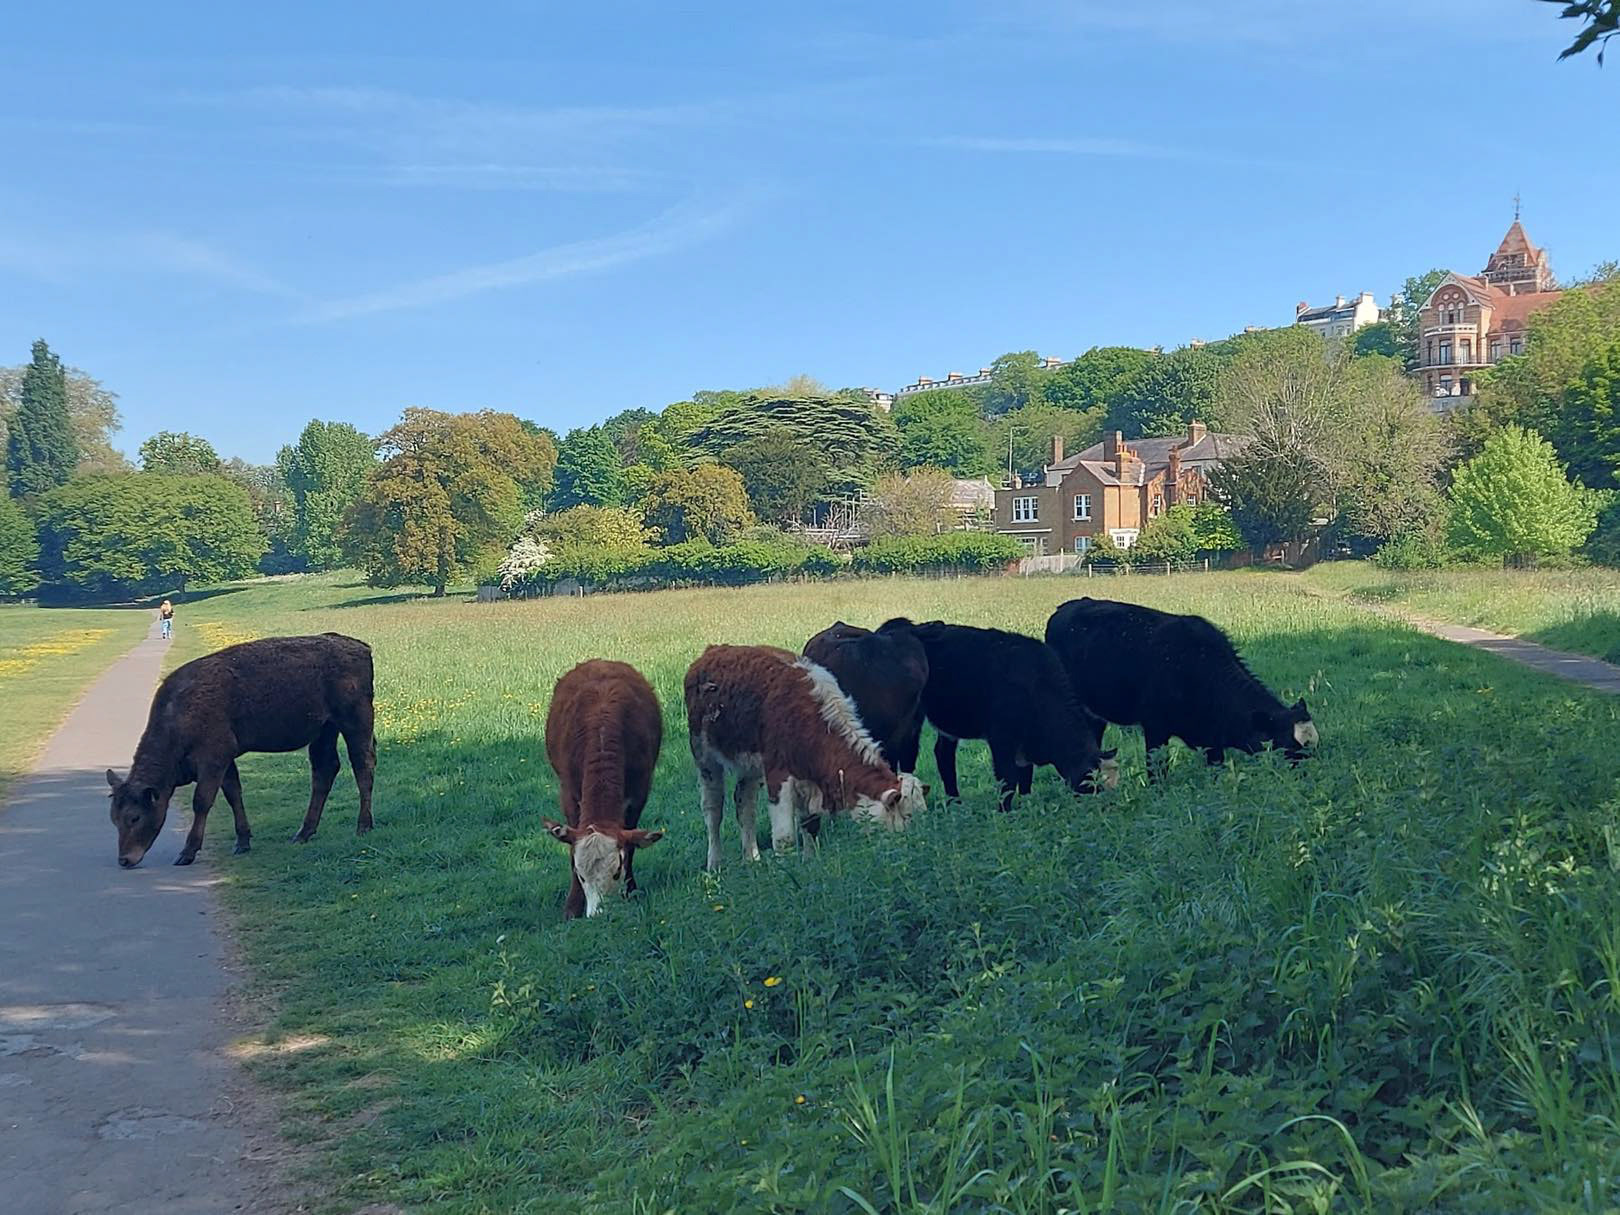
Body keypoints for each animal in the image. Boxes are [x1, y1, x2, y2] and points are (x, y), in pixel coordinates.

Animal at [106, 633, 375, 868]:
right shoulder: (226, 759)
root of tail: (362, 647)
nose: (124, 860)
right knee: (324, 771)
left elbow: (202, 801)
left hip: (355, 721)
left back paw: (363, 826)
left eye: (134, 817)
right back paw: (303, 833)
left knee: (363, 766)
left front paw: (188, 851)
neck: (178, 715)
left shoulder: (213, 758)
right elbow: (234, 794)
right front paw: (242, 841)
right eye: (114, 819)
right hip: (324, 730)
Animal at [542, 659, 665, 919]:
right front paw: (572, 906)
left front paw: (631, 891)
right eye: (581, 876)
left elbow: (631, 847)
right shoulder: (568, 793)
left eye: (616, 871)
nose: (600, 914)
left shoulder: (639, 793)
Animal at [684, 644, 927, 871]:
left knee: (745, 804)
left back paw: (751, 858)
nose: (913, 850)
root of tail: (713, 650)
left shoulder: (810, 777)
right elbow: (784, 838)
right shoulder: (778, 775)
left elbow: (810, 825)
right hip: (704, 757)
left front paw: (811, 862)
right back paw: (715, 863)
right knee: (713, 809)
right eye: (907, 816)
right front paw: (788, 875)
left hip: (749, 766)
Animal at [881, 619, 1116, 812]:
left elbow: (1025, 775)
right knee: (904, 755)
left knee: (943, 756)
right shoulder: (1001, 738)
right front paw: (1005, 810)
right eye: (1087, 776)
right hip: (910, 719)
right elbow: (1007, 777)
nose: (1098, 795)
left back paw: (955, 801)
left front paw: (1027, 802)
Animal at [1044, 597, 1317, 775]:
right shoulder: (1155, 727)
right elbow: (1157, 769)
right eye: (1288, 749)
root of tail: (1065, 607)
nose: (1308, 777)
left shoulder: (1212, 740)